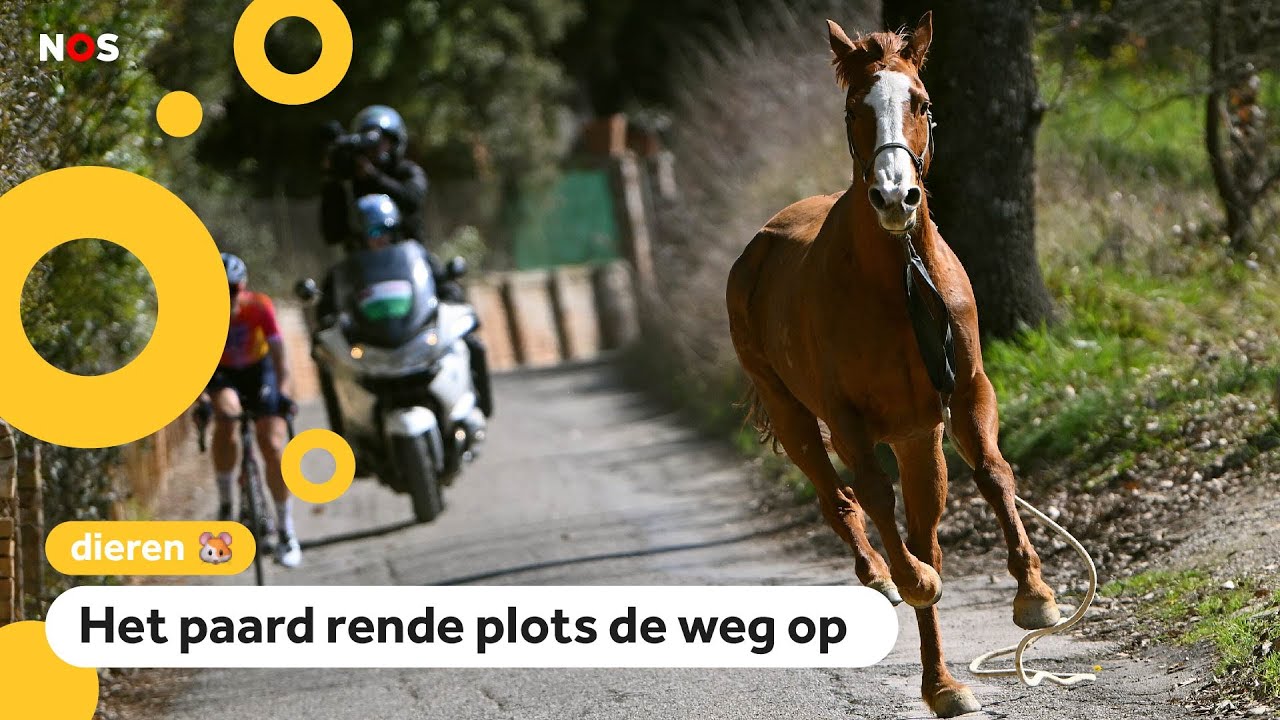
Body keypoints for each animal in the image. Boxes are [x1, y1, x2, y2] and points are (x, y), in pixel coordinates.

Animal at [725, 14, 1060, 718]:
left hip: (917, 438)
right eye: (855, 107)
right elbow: (879, 503)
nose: (893, 196)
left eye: (921, 102)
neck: (898, 282)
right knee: (841, 501)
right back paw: (883, 578)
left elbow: (993, 473)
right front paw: (912, 579)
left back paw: (943, 685)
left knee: (923, 525)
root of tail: (758, 248)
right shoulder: (849, 420)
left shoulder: (962, 396)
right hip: (793, 415)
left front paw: (1035, 596)